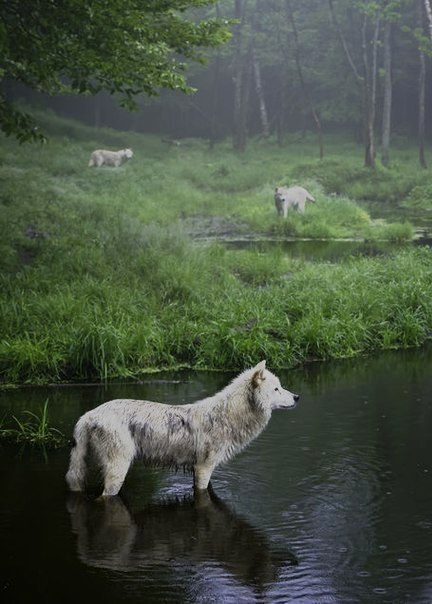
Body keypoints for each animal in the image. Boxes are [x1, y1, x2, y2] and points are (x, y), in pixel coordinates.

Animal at [66, 358, 298, 496]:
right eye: (277, 389)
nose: (297, 397)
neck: (228, 415)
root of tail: (88, 415)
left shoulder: (201, 470)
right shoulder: (203, 468)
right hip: (117, 471)